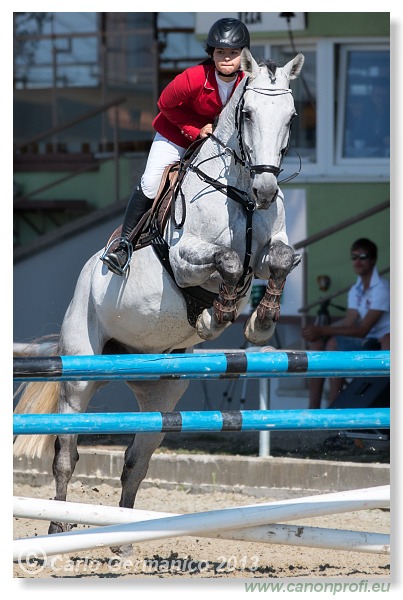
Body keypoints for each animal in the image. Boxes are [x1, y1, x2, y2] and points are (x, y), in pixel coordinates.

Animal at [14, 48, 304, 540]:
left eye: (290, 116)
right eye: (246, 114)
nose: (267, 190)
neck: (240, 193)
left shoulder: (267, 255)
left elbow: (280, 259)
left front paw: (261, 321)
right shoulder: (186, 258)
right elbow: (227, 262)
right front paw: (217, 314)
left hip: (161, 392)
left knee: (137, 460)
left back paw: (124, 539)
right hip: (80, 372)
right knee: (66, 453)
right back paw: (57, 527)